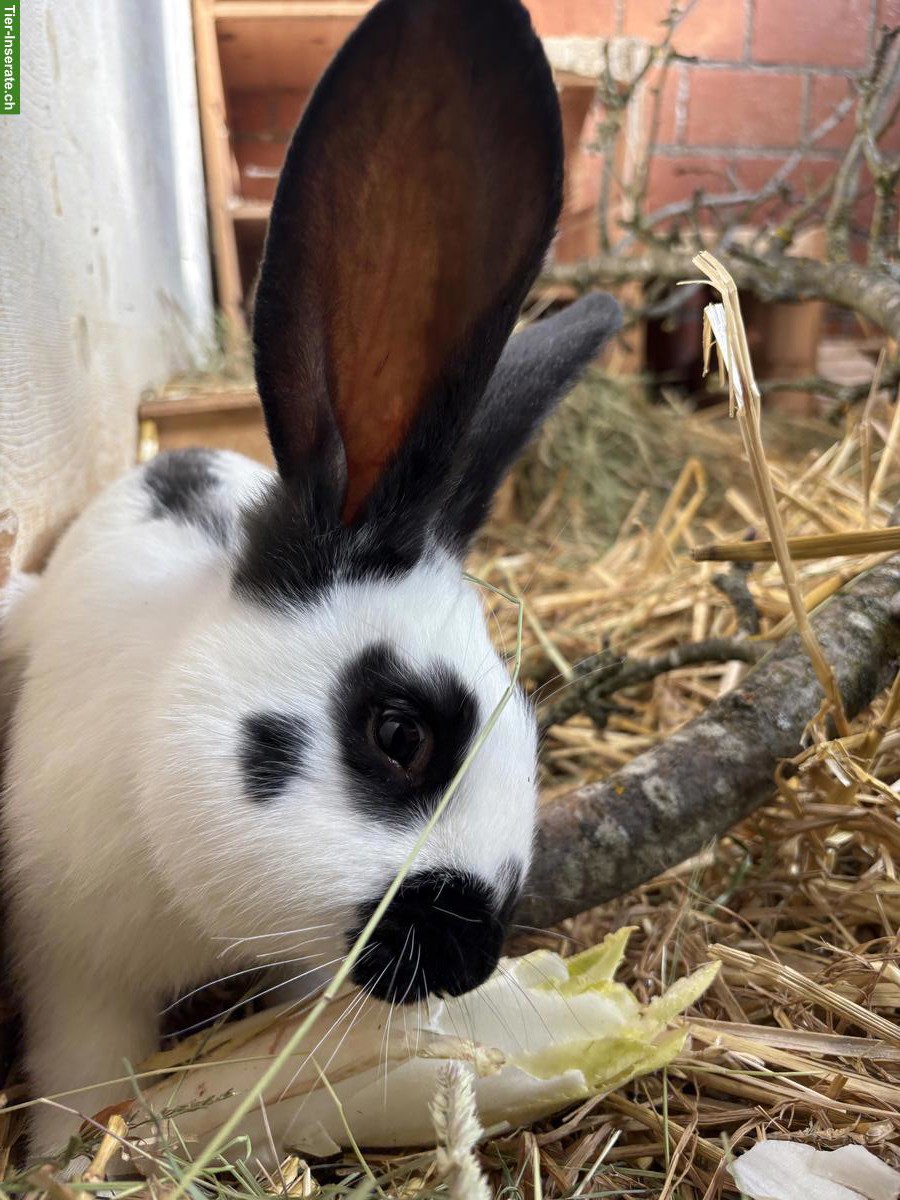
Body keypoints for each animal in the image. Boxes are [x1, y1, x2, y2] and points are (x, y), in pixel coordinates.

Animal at [0, 0, 622, 1160]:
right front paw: (66, 1160)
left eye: (530, 730)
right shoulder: (75, 973)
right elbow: (79, 1074)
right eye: (400, 733)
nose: (473, 959)